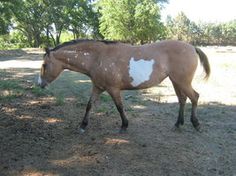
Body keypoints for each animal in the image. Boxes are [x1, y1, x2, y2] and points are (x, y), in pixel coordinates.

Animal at [37, 39, 211, 133]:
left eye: (44, 65)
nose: (39, 84)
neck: (98, 58)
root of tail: (192, 47)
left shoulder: (113, 89)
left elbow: (119, 107)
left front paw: (124, 126)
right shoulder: (97, 87)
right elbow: (89, 105)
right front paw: (82, 125)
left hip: (183, 82)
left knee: (194, 97)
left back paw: (196, 124)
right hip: (176, 81)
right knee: (182, 100)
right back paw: (177, 124)